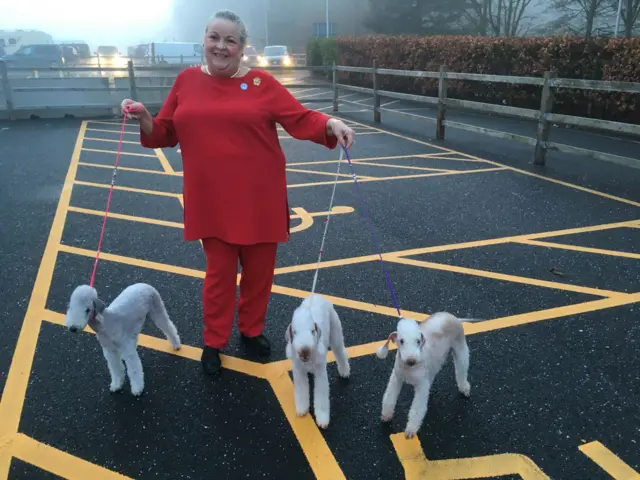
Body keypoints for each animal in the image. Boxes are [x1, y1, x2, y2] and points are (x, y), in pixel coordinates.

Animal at [286, 294, 350, 430]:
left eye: (312, 331)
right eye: (295, 332)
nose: (304, 350)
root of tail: (316, 296)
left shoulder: (321, 373)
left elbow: (321, 396)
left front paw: (322, 419)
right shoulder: (298, 372)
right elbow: (301, 391)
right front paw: (302, 409)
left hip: (336, 334)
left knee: (341, 353)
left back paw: (345, 372)